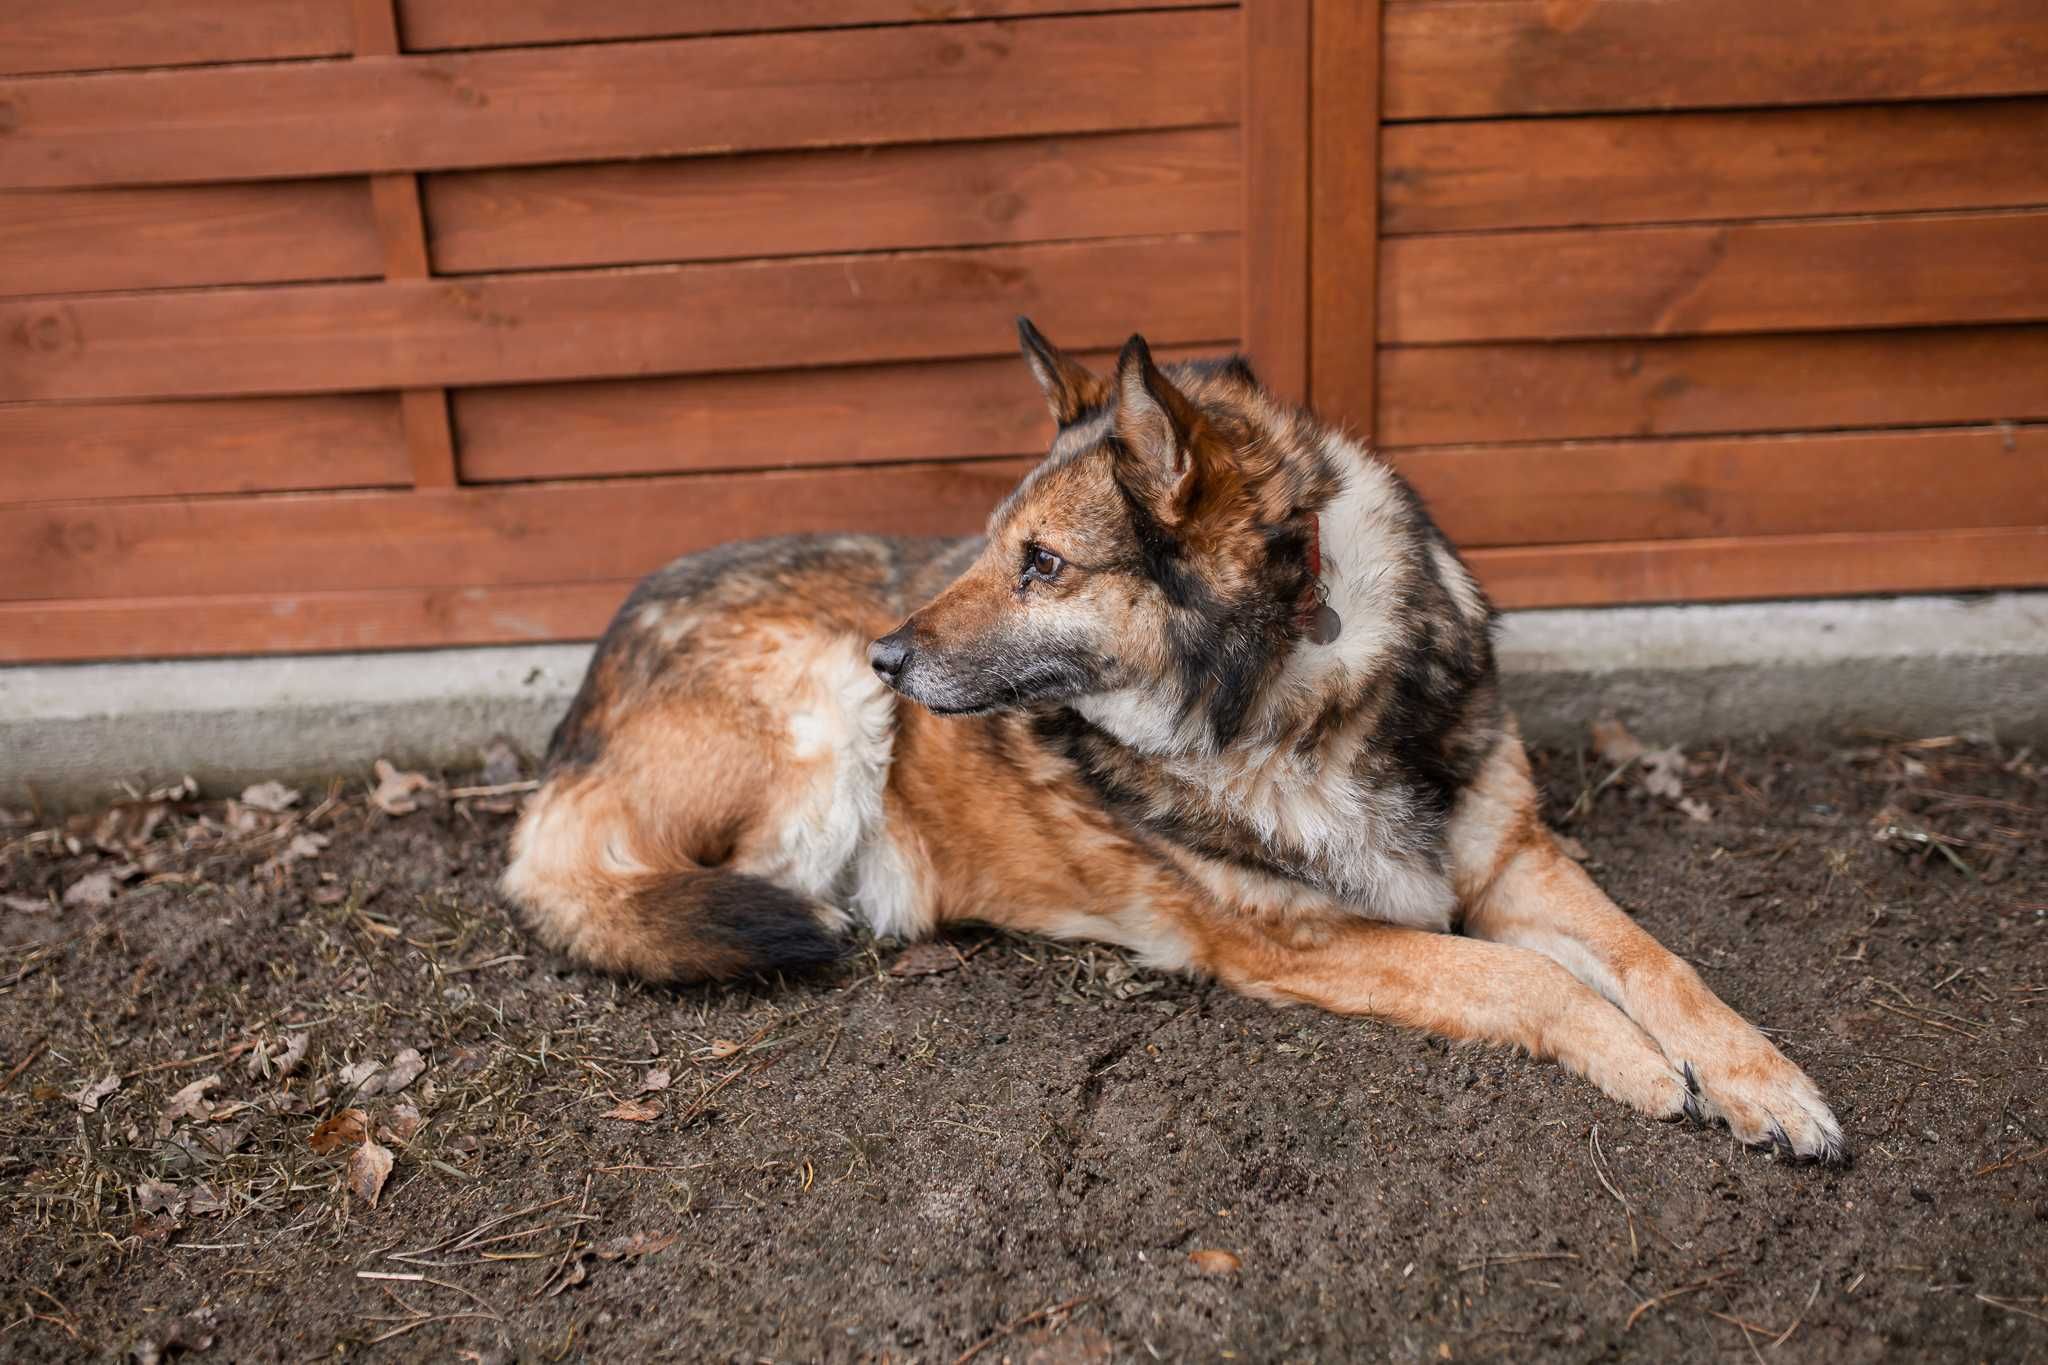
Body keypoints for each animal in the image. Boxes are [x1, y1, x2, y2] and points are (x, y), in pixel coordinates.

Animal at [503, 321, 1851, 1162]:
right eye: (989, 548)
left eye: (1042, 564)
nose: (892, 655)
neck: (1299, 691)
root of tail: (585, 699)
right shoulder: (1293, 941)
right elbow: (1519, 977)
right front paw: (1640, 1065)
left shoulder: (1514, 858)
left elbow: (1653, 962)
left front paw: (1759, 1080)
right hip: (818, 723)